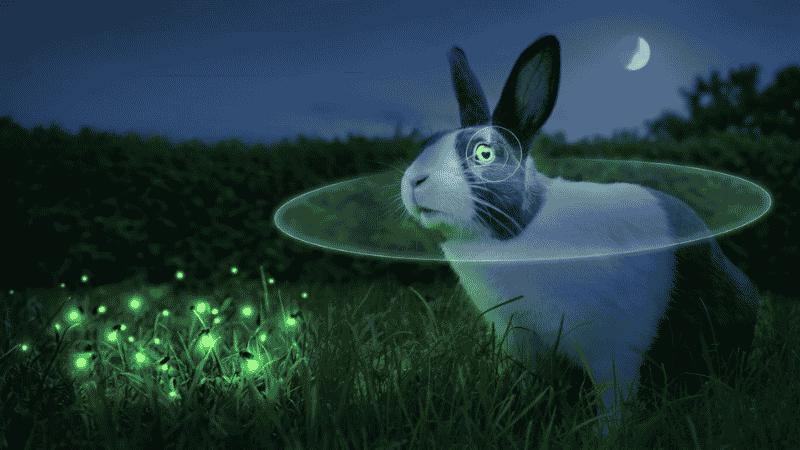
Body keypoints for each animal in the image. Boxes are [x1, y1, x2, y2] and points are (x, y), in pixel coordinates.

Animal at [400, 35, 761, 430]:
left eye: (484, 153)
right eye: (428, 142)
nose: (414, 181)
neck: (519, 230)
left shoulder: (615, 346)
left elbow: (615, 399)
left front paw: (608, 436)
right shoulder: (520, 340)